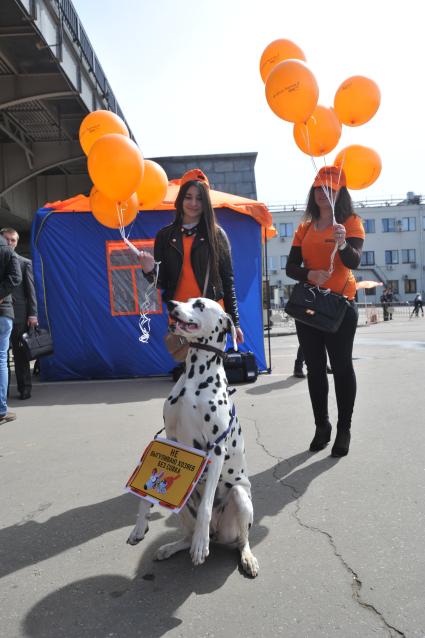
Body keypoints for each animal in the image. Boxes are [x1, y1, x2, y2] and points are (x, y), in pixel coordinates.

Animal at [126, 298, 258, 580]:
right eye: (185, 300)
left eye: (199, 304)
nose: (171, 302)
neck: (195, 378)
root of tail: (217, 535)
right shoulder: (169, 440)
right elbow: (144, 496)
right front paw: (139, 526)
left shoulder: (216, 450)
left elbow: (207, 506)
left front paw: (200, 546)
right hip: (183, 505)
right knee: (188, 534)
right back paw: (172, 547)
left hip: (241, 498)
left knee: (241, 539)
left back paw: (244, 556)